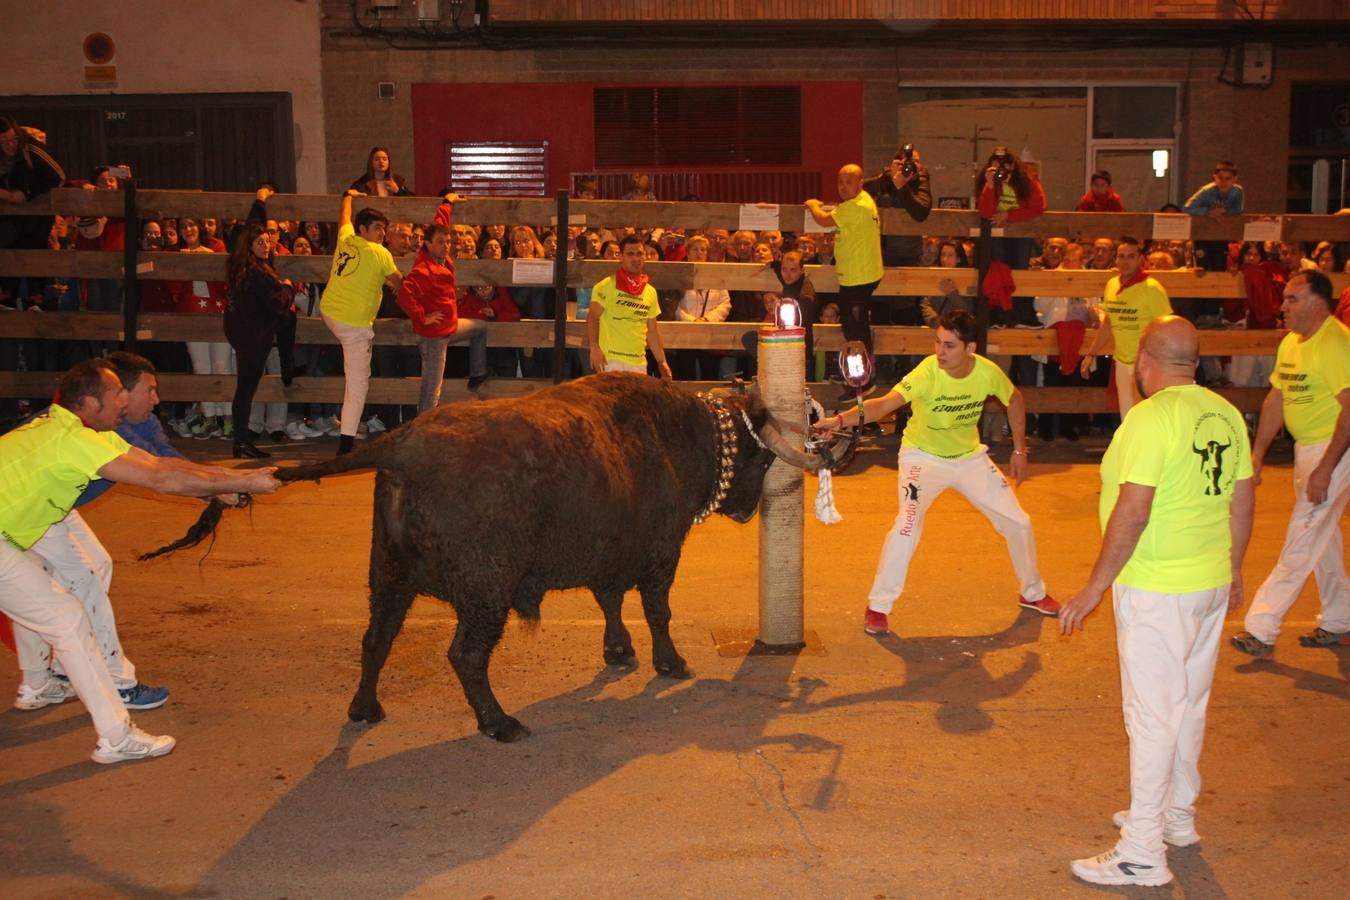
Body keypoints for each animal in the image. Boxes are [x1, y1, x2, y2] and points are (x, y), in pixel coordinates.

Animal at [156, 372, 815, 739]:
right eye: (760, 456)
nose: (749, 507)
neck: (673, 433)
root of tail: (401, 447)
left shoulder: (610, 558)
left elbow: (610, 602)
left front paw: (619, 651)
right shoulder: (660, 557)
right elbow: (655, 610)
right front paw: (669, 662)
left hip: (389, 579)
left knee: (376, 640)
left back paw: (366, 708)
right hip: (485, 594)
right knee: (465, 655)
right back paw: (500, 723)